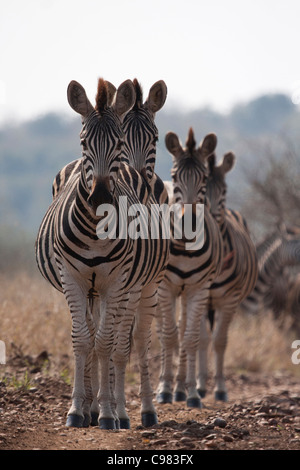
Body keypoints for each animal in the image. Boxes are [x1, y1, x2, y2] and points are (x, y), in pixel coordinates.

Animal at [35, 78, 169, 430]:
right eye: (84, 142)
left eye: (119, 141)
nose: (100, 197)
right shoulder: (73, 278)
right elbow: (84, 341)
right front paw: (77, 410)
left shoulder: (119, 282)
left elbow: (110, 344)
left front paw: (110, 413)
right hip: (93, 290)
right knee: (95, 337)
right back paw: (91, 408)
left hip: (146, 287)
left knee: (136, 340)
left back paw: (141, 411)